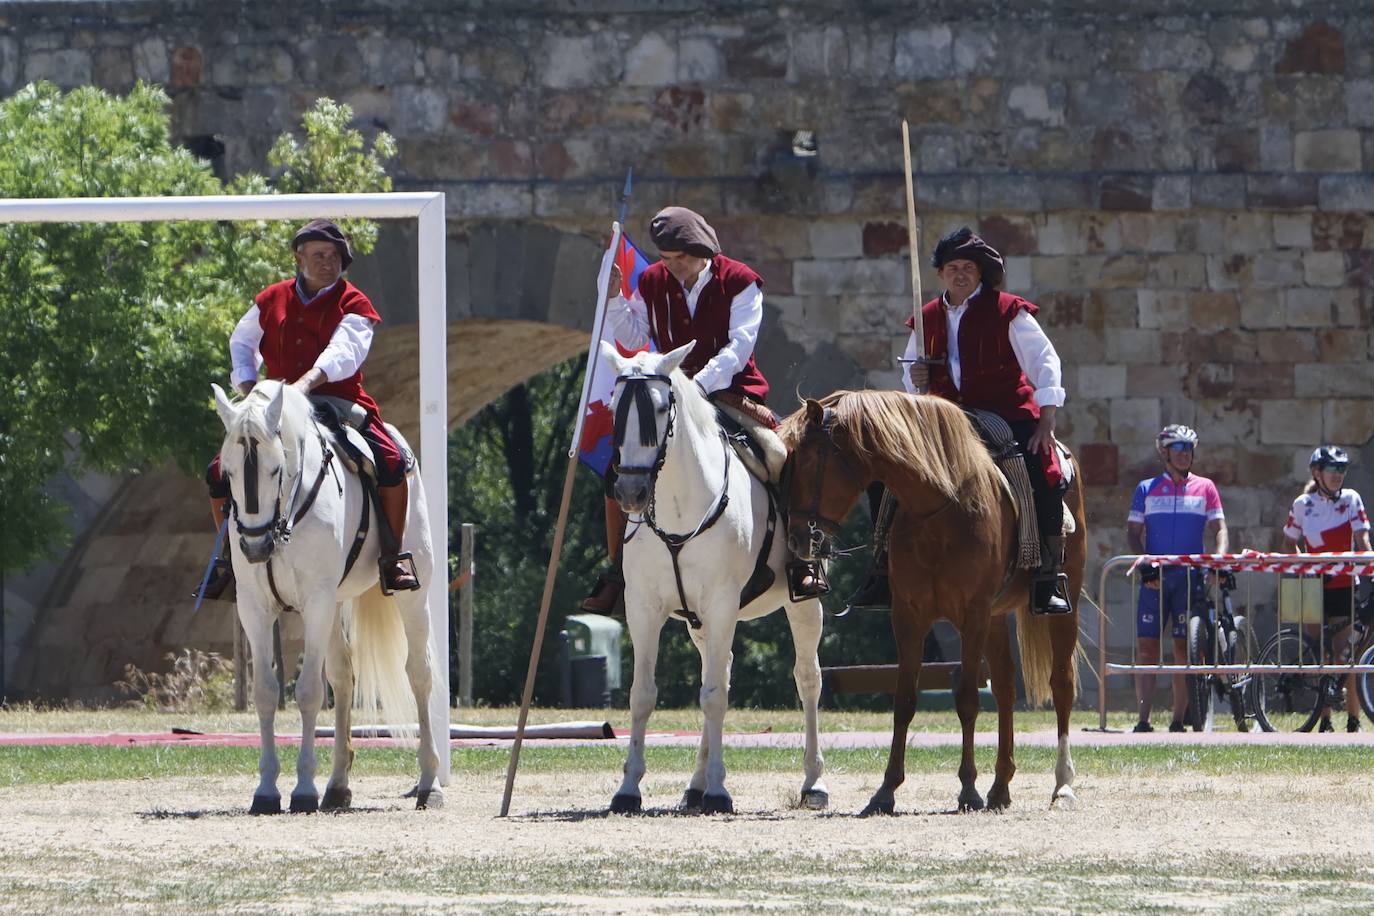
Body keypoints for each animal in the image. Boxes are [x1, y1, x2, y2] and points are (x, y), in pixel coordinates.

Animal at [211, 379, 442, 818]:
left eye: (276, 468)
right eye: (227, 473)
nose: (255, 547)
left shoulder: (315, 603)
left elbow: (308, 693)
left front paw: (302, 789)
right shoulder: (255, 608)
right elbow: (266, 692)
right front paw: (266, 790)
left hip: (410, 597)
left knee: (419, 675)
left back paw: (429, 783)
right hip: (332, 608)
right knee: (343, 676)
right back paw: (337, 786)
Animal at [596, 340, 818, 813]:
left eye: (662, 407)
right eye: (614, 407)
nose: (630, 492)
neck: (681, 507)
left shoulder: (721, 607)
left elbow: (715, 697)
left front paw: (719, 790)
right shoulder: (645, 610)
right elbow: (643, 695)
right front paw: (628, 789)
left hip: (804, 604)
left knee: (808, 679)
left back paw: (813, 782)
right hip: (698, 625)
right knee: (720, 671)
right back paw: (695, 785)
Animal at [785, 395, 1082, 818]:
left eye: (809, 462)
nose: (795, 539)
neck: (939, 507)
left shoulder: (972, 615)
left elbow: (968, 699)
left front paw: (968, 789)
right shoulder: (909, 617)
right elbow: (905, 701)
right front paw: (886, 790)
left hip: (1062, 605)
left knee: (1061, 685)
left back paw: (1062, 784)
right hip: (994, 617)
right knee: (1006, 687)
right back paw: (1001, 786)